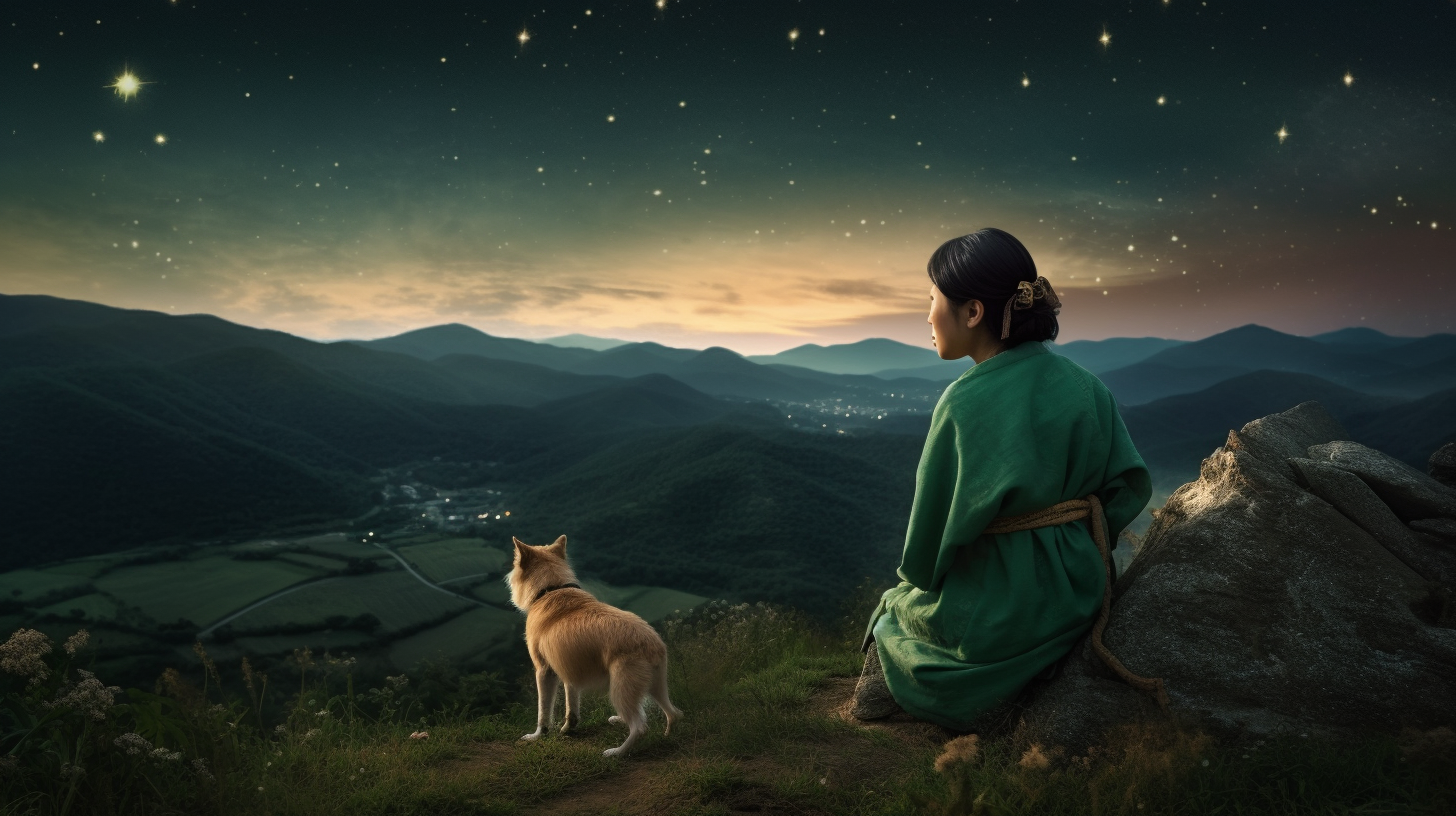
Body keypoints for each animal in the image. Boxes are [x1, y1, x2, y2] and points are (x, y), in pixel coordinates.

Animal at [509, 536, 678, 757]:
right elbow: (572, 707)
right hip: (655, 686)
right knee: (672, 713)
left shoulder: (545, 671)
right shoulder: (569, 668)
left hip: (620, 688)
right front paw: (568, 728)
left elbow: (543, 711)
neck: (552, 589)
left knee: (640, 727)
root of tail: (654, 645)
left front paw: (538, 735)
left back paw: (616, 752)